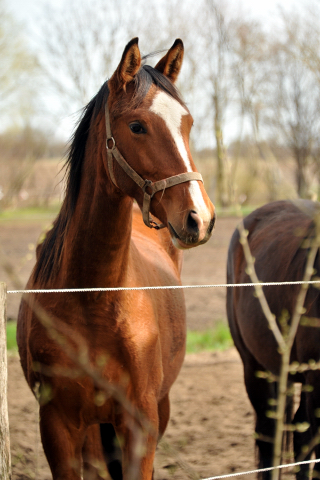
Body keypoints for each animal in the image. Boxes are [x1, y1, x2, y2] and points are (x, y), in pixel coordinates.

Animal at [15, 39, 215, 480]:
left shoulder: (141, 423)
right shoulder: (57, 426)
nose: (200, 217)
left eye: (188, 123)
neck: (93, 298)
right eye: (137, 126)